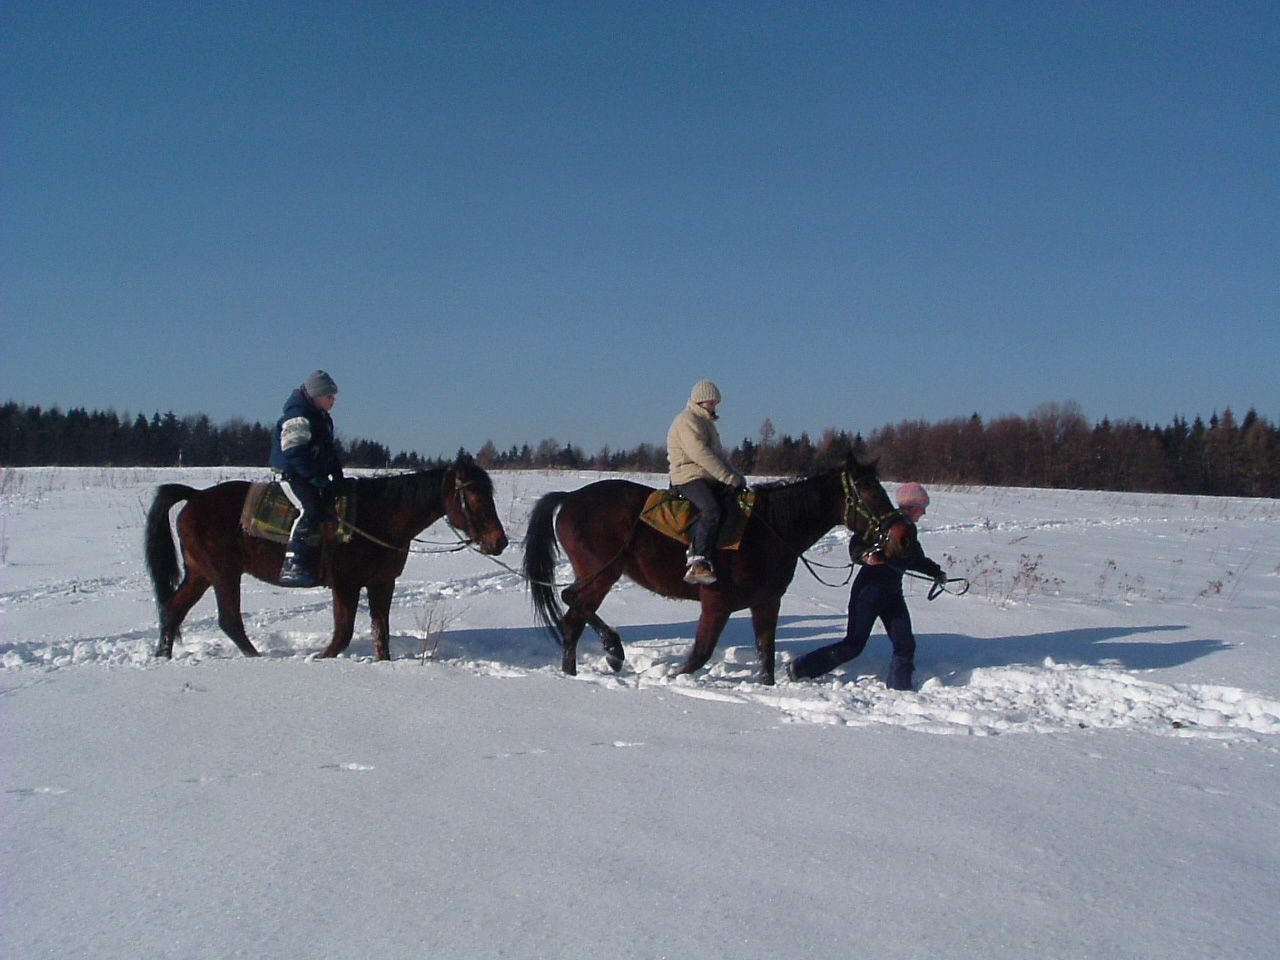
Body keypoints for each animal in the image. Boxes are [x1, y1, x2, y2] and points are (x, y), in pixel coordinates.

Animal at [147, 458, 506, 660]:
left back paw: (163, 657)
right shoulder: (345, 584)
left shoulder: (382, 583)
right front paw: (321, 659)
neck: (376, 518)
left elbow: (381, 634)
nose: (499, 541)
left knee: (172, 610)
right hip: (223, 573)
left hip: (200, 573)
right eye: (474, 498)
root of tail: (195, 496)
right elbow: (343, 634)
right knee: (229, 620)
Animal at [519, 455, 911, 686]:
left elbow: (765, 655)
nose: (902, 534)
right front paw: (671, 679)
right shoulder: (716, 604)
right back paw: (613, 651)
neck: (769, 530)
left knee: (572, 621)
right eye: (868, 492)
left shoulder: (766, 603)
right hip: (601, 571)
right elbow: (699, 656)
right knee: (571, 601)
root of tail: (570, 497)